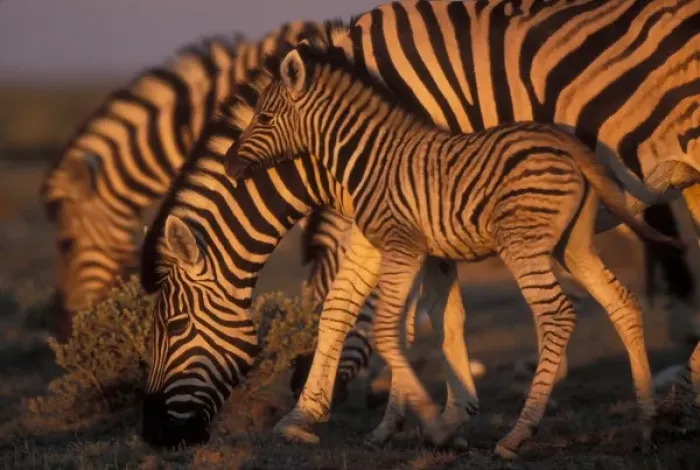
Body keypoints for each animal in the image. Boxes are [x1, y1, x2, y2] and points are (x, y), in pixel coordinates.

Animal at [139, 0, 700, 450]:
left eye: (173, 327)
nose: (154, 435)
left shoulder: (405, 208)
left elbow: (375, 311)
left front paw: (362, 415)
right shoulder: (421, 214)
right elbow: (417, 312)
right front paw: (442, 412)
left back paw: (681, 398)